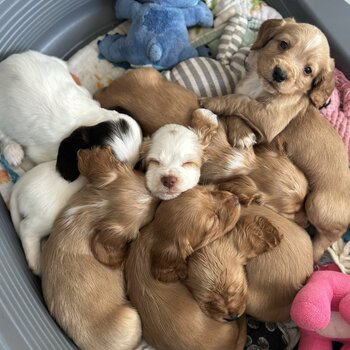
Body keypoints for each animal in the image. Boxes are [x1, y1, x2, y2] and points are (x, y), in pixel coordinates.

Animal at [0, 50, 141, 168]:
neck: (91, 117)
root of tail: (4, 65)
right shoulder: (42, 154)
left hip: (52, 60)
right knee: (4, 135)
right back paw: (13, 152)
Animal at [201, 17, 350, 262]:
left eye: (308, 70)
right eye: (283, 44)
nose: (280, 74)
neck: (259, 86)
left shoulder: (269, 119)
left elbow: (239, 100)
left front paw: (213, 101)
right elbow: (239, 108)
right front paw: (242, 134)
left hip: (317, 203)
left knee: (327, 236)